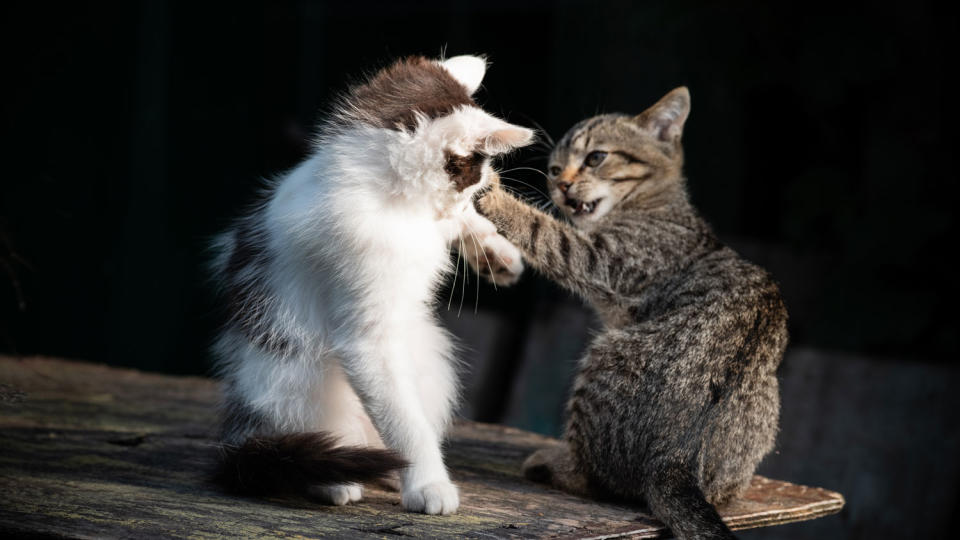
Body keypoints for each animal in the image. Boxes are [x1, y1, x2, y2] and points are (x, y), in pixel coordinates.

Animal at [209, 54, 532, 516]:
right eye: (471, 183)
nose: (459, 207)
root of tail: (239, 432)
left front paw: (495, 252)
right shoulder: (366, 334)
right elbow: (404, 420)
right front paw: (428, 484)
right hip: (291, 383)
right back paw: (332, 480)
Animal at [478, 86, 788, 536]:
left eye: (595, 157)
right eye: (553, 169)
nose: (561, 185)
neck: (654, 205)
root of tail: (674, 461)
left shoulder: (602, 261)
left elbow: (546, 232)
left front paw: (497, 194)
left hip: (602, 360)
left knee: (597, 481)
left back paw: (550, 464)